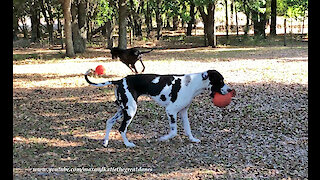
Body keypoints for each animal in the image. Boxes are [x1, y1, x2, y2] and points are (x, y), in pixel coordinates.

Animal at [84, 69, 231, 147]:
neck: (192, 83)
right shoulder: (171, 111)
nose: (230, 90)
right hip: (130, 110)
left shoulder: (183, 112)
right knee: (121, 129)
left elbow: (188, 129)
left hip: (123, 109)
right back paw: (128, 144)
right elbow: (173, 132)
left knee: (109, 122)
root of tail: (120, 80)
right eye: (220, 81)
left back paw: (105, 142)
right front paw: (163, 139)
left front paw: (193, 139)